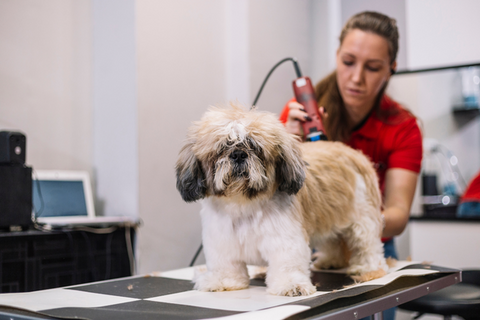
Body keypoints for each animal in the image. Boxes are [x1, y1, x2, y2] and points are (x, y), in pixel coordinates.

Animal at [174, 102, 388, 298]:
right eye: (222, 147)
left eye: (255, 147)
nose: (238, 154)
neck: (244, 204)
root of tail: (350, 152)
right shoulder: (222, 241)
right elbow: (226, 266)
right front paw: (224, 282)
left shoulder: (285, 240)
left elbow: (287, 265)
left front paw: (292, 286)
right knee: (332, 239)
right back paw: (331, 262)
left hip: (362, 216)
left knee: (367, 243)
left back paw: (367, 268)